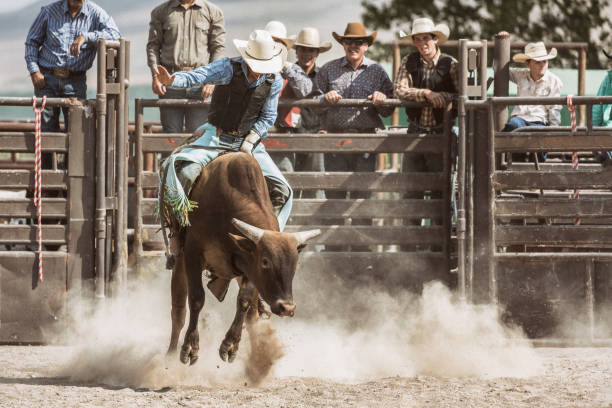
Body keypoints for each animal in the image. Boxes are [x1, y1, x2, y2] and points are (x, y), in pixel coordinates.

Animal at [167, 151, 320, 364]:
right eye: (265, 261)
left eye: (295, 264)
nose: (287, 308)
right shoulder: (193, 254)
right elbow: (197, 298)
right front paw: (190, 347)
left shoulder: (248, 269)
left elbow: (244, 301)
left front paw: (230, 344)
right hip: (180, 261)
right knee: (178, 310)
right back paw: (170, 356)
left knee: (253, 315)